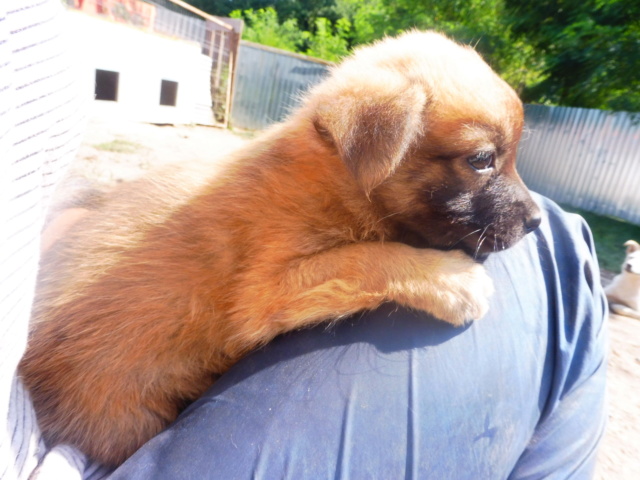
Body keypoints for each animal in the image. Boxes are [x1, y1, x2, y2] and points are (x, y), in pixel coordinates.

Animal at [18, 31, 540, 466]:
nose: (537, 221)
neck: (333, 177)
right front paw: (453, 280)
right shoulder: (266, 287)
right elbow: (366, 256)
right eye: (481, 159)